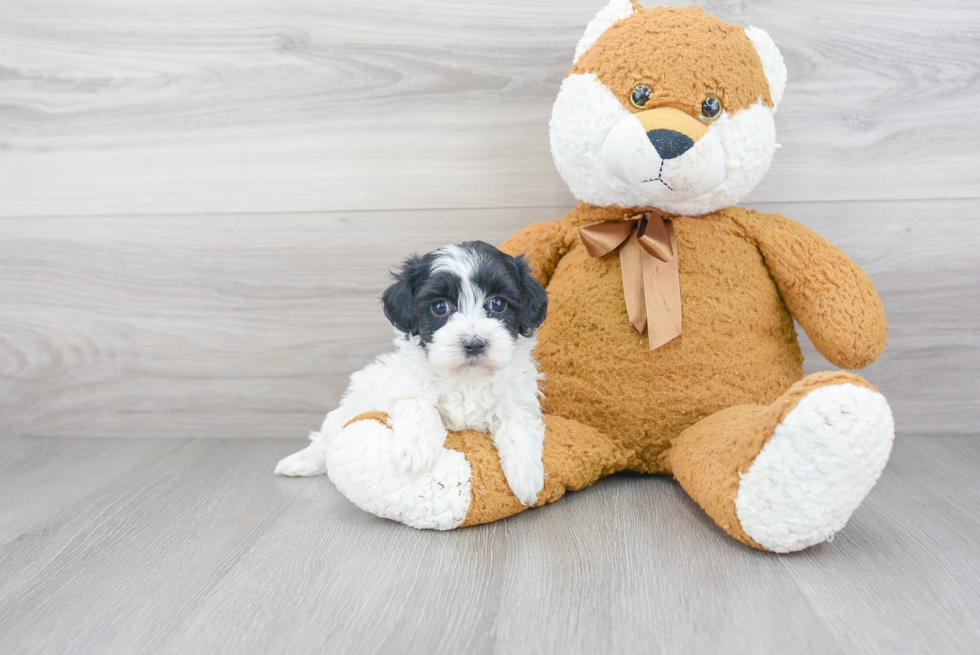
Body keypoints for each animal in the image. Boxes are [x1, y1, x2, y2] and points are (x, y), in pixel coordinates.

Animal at [278, 242, 552, 508]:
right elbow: (418, 405)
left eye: (497, 303)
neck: (466, 377)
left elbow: (519, 426)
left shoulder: (517, 398)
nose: (473, 343)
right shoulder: (404, 387)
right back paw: (299, 463)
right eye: (440, 306)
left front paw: (527, 477)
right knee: (325, 439)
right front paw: (414, 450)